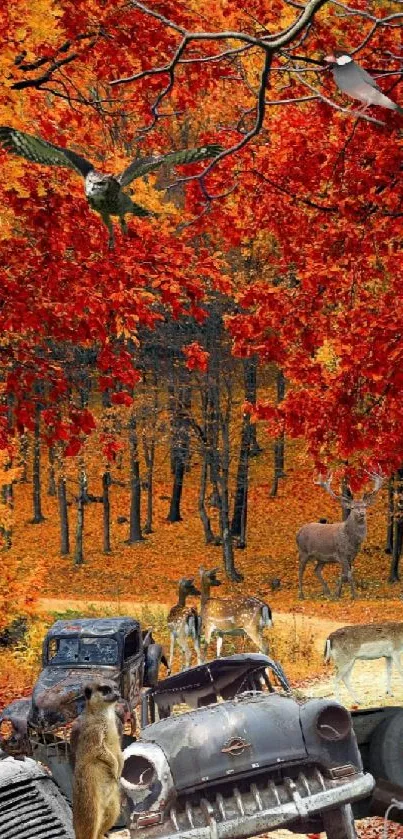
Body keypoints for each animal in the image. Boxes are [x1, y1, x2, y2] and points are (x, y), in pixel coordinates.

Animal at [296, 470, 386, 600]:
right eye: (353, 507)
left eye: (364, 506)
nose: (362, 513)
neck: (351, 541)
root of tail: (298, 532)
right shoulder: (341, 553)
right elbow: (348, 574)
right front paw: (354, 596)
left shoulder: (351, 556)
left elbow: (345, 574)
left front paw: (337, 594)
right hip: (303, 551)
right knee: (300, 571)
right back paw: (301, 595)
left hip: (322, 558)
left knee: (316, 570)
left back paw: (327, 592)